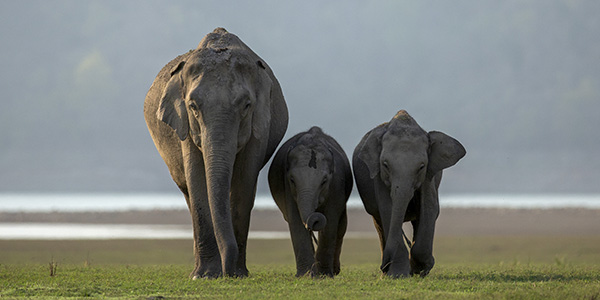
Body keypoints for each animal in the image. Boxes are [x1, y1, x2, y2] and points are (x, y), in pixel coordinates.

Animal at [143, 28, 288, 278]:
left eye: (246, 105)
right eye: (193, 106)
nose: (227, 272)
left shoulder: (260, 127)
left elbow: (244, 182)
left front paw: (238, 273)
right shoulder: (185, 127)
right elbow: (197, 179)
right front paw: (206, 275)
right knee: (188, 193)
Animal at [268, 126, 352, 276]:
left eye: (324, 181)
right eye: (292, 180)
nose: (315, 219)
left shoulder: (336, 184)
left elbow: (331, 220)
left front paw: (324, 275)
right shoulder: (287, 188)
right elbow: (295, 219)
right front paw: (306, 275)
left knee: (342, 224)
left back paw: (332, 270)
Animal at [354, 110, 466, 278]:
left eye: (421, 166)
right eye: (385, 165)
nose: (383, 265)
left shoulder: (429, 177)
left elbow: (430, 209)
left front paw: (421, 269)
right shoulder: (378, 176)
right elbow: (387, 209)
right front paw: (398, 275)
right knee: (379, 222)